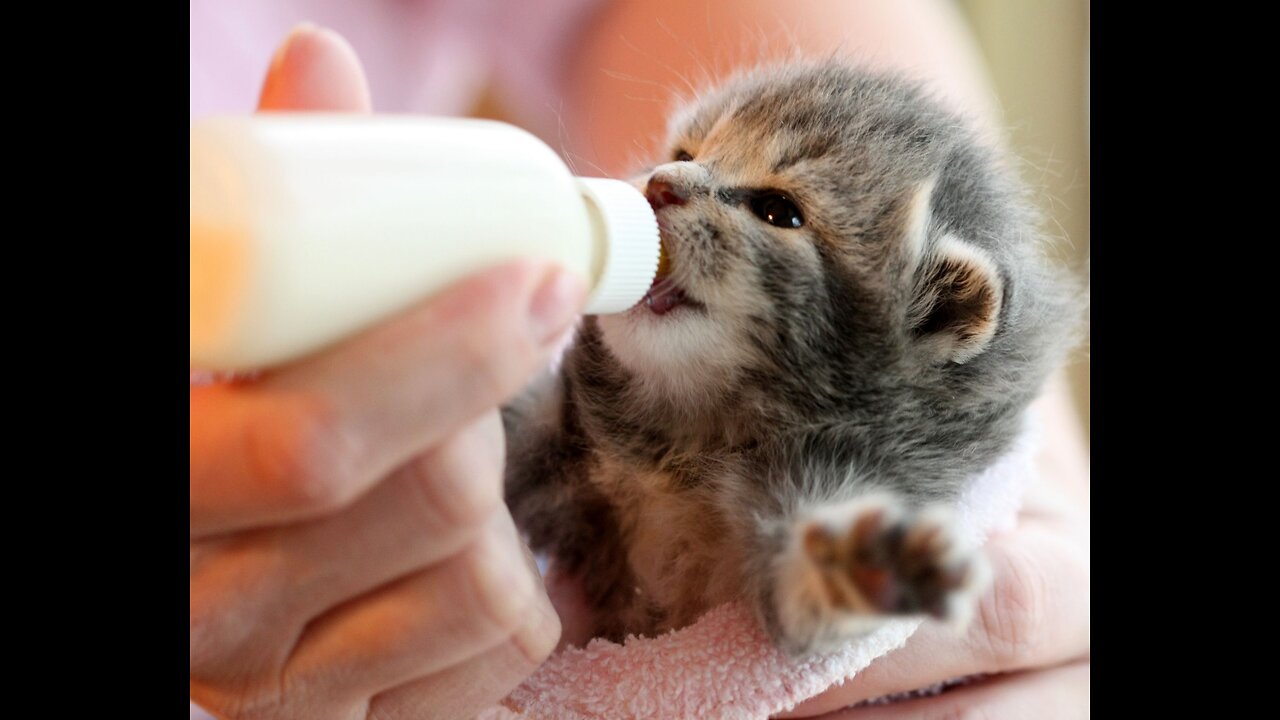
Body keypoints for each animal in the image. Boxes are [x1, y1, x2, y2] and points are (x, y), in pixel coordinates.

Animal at [499, 60, 1080, 655]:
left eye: (778, 211)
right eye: (685, 154)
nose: (660, 184)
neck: (687, 447)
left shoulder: (841, 468)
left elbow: (802, 599)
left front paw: (863, 565)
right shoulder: (560, 424)